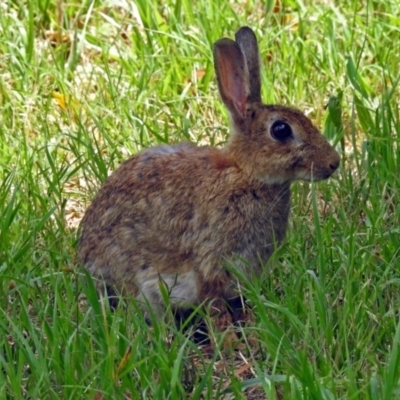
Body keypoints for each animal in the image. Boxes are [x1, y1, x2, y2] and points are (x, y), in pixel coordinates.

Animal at [78, 25, 340, 338]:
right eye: (280, 130)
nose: (334, 163)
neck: (247, 174)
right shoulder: (210, 261)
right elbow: (213, 304)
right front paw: (228, 339)